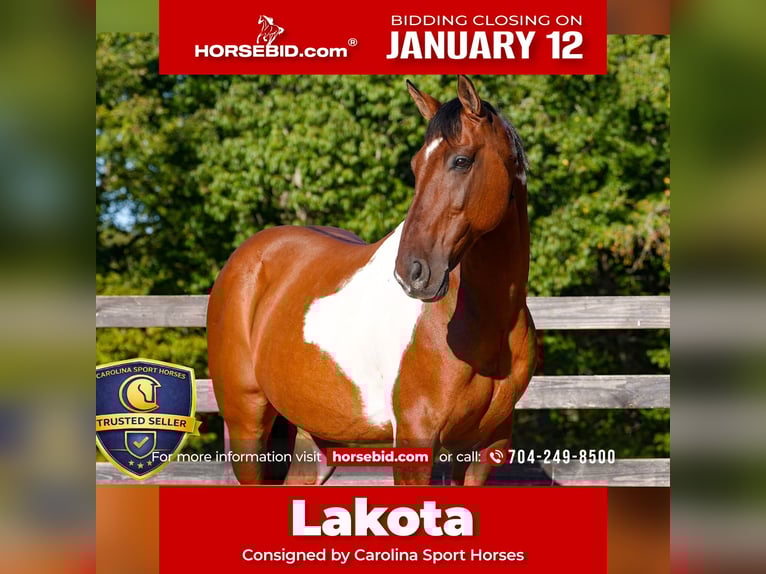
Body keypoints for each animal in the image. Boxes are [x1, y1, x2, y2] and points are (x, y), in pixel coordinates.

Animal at [207, 76, 536, 486]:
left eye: (461, 160)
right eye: (415, 166)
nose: (412, 272)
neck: (486, 324)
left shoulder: (484, 448)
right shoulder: (414, 440)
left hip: (316, 441)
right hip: (247, 426)